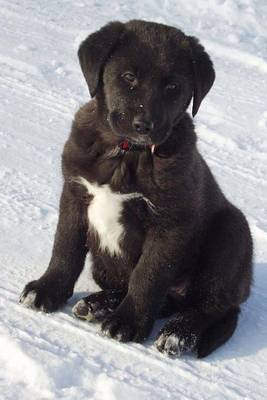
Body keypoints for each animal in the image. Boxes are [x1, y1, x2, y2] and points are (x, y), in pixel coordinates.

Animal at [20, 20, 253, 358]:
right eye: (128, 77)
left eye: (173, 87)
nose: (144, 125)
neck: (126, 153)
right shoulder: (74, 195)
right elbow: (65, 248)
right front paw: (47, 290)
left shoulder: (169, 223)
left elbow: (148, 275)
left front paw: (127, 323)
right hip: (106, 267)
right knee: (161, 298)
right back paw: (98, 305)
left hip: (232, 233)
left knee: (210, 305)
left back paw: (176, 333)